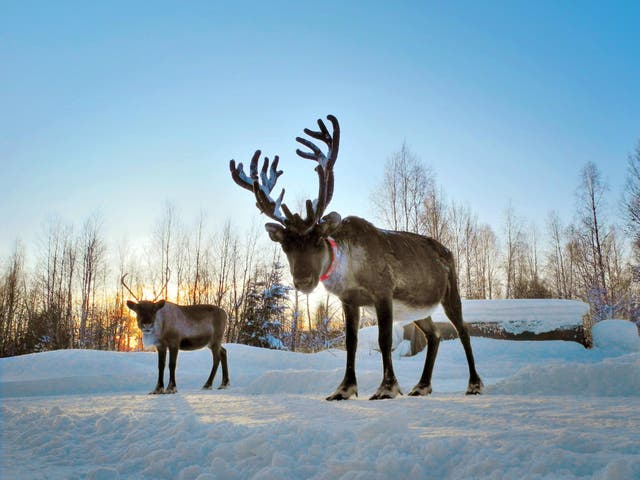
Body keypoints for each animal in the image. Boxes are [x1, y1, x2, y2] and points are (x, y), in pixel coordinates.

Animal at [230, 114, 483, 400]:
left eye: (318, 239)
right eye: (285, 245)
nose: (303, 281)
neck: (348, 272)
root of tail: (447, 251)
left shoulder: (383, 293)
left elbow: (384, 340)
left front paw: (387, 388)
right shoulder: (349, 301)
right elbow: (351, 342)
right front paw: (344, 389)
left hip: (451, 292)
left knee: (463, 331)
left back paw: (474, 384)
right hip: (418, 309)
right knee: (435, 335)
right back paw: (422, 386)